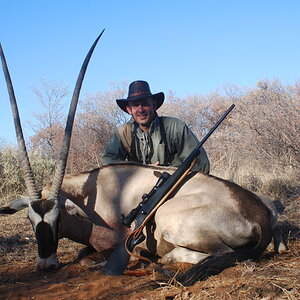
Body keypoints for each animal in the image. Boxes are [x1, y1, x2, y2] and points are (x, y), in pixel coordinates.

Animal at [0, 33, 286, 286]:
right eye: (30, 220)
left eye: (57, 218)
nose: (46, 264)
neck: (94, 195)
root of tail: (258, 213)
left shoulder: (112, 242)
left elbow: (84, 258)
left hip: (168, 217)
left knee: (217, 253)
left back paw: (162, 258)